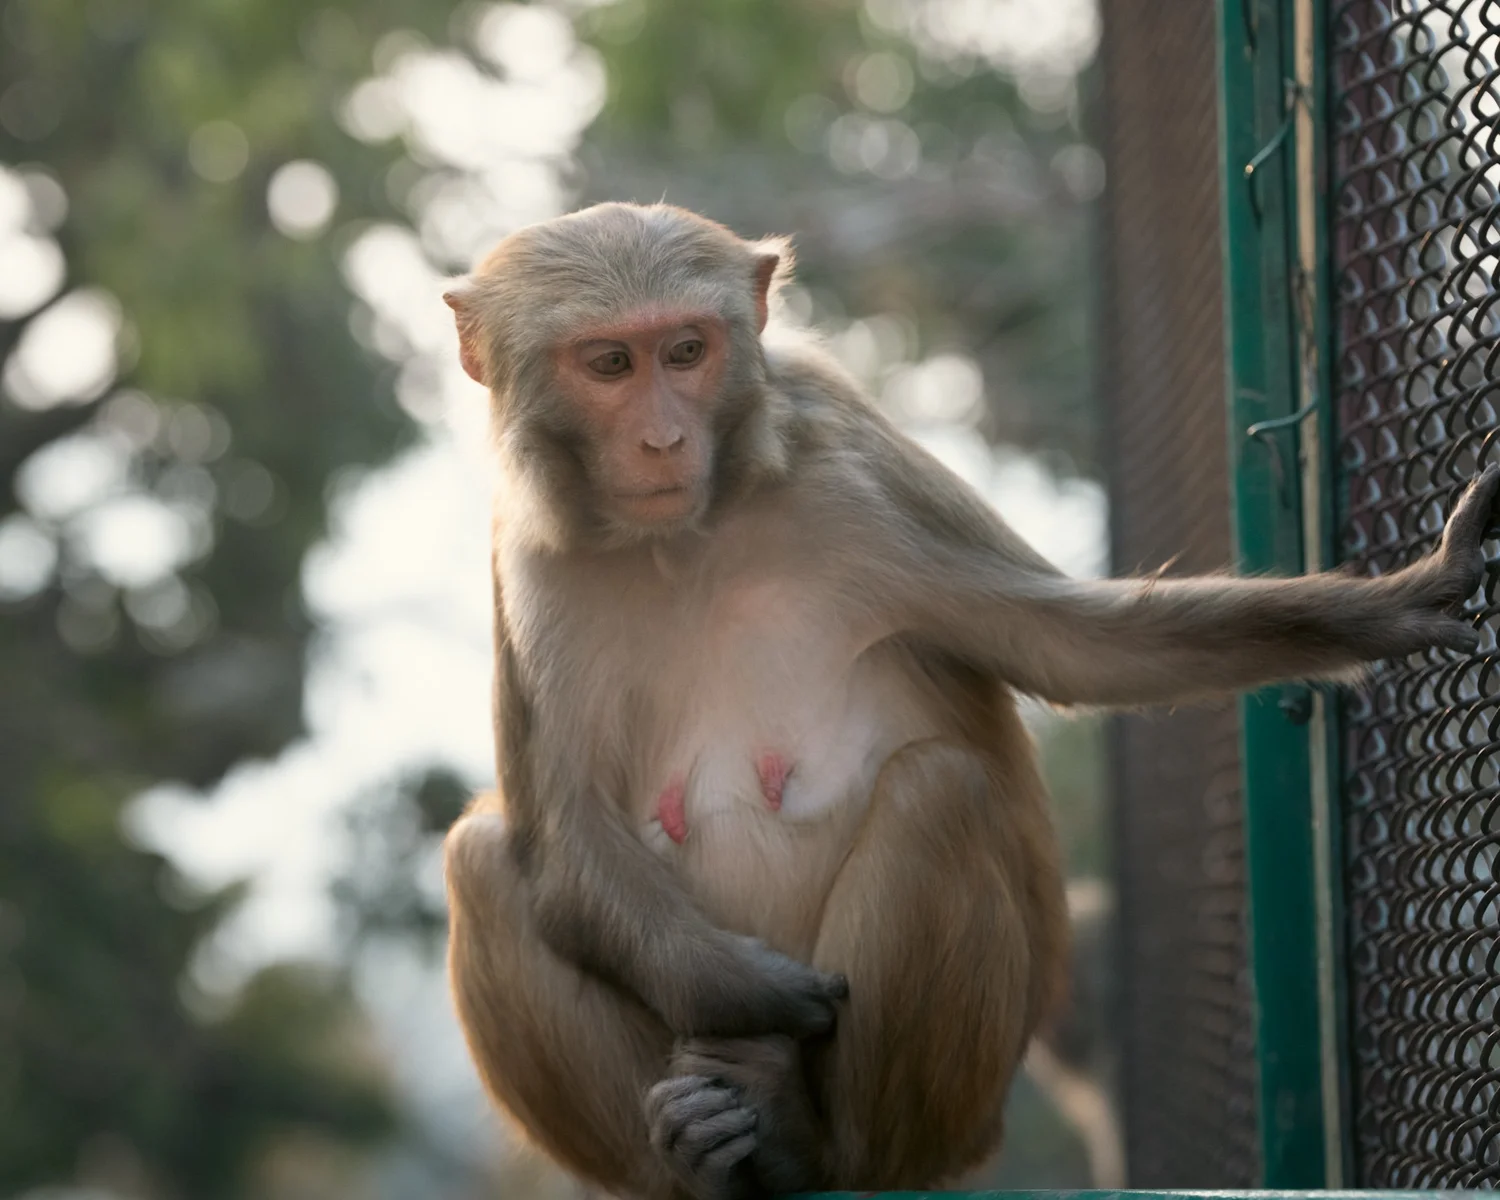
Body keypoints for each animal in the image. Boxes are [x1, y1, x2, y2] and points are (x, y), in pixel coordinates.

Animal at [438, 202, 1499, 1200]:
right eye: (611, 363)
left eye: (688, 351)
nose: (663, 439)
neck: (689, 536)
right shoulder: (532, 559)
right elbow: (566, 842)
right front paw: (754, 995)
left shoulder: (852, 467)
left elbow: (1084, 651)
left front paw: (1407, 600)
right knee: (485, 860)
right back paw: (691, 1156)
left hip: (965, 1112)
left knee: (938, 791)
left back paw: (803, 1144)